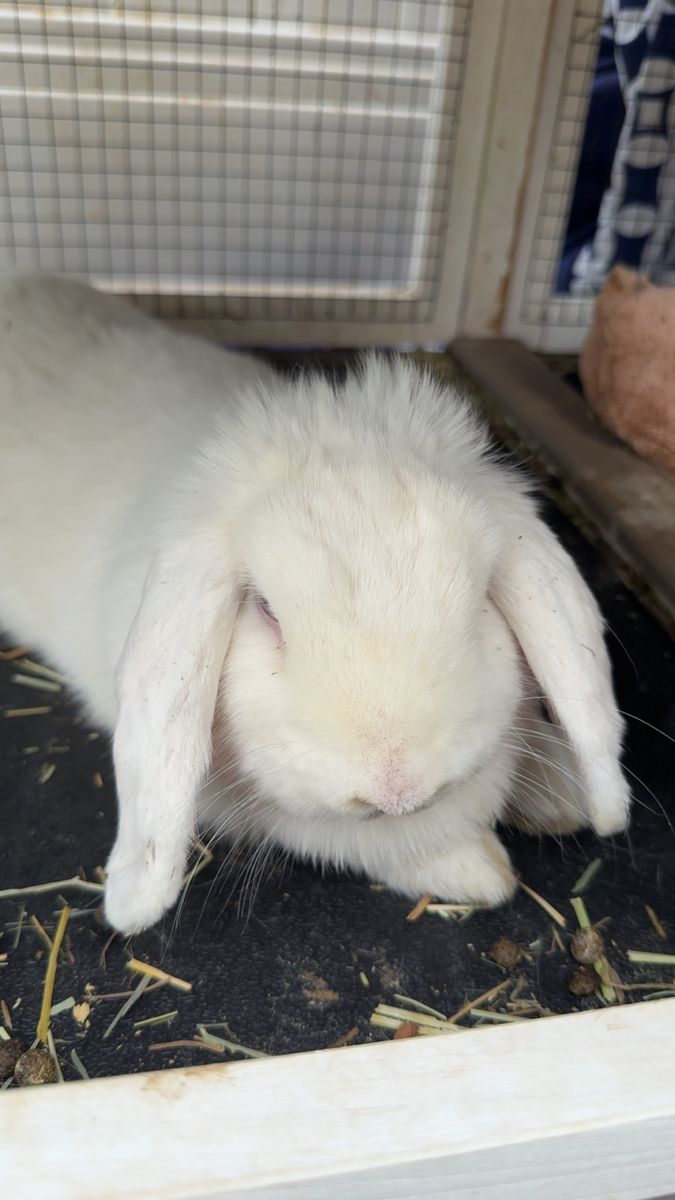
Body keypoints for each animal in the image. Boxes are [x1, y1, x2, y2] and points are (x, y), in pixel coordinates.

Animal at [0, 273, 631, 934]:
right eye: (266, 610)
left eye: (482, 597)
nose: (398, 790)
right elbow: (353, 839)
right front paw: (476, 870)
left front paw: (559, 789)